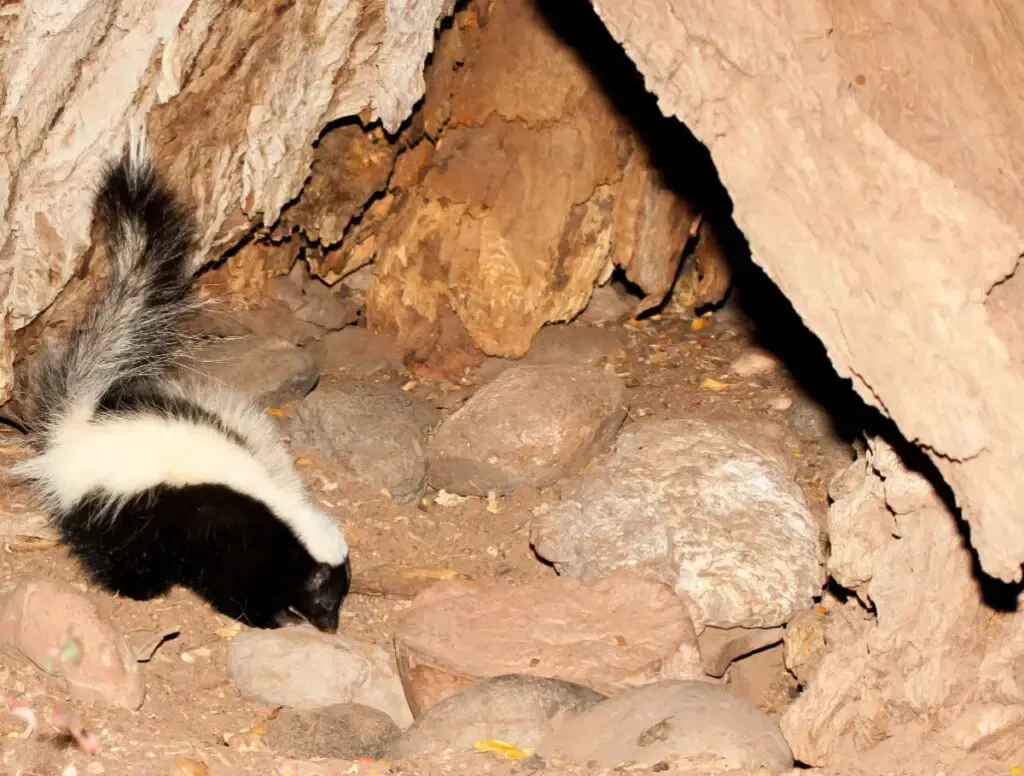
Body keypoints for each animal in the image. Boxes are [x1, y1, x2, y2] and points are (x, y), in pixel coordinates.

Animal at [9, 132, 356, 630]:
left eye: (338, 596)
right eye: (325, 597)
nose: (331, 626)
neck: (279, 516)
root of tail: (76, 431)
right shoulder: (230, 540)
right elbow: (233, 587)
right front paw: (273, 618)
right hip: (117, 510)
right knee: (111, 553)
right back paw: (137, 589)